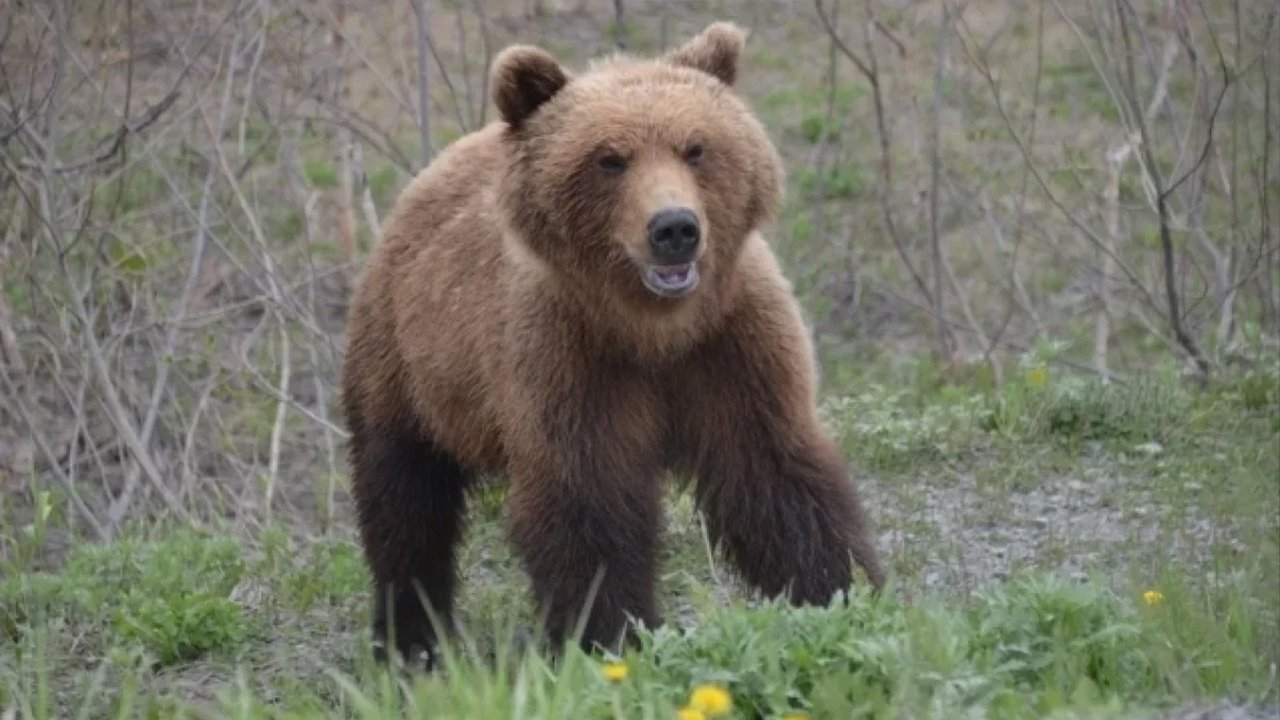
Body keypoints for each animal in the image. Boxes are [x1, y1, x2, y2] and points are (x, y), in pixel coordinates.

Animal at [335, 19, 885, 666]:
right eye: (610, 159)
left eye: (695, 147)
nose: (674, 227)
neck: (653, 330)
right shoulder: (569, 358)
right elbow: (588, 504)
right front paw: (613, 638)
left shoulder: (732, 343)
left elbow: (775, 472)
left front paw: (841, 592)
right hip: (407, 360)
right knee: (404, 496)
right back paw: (411, 638)